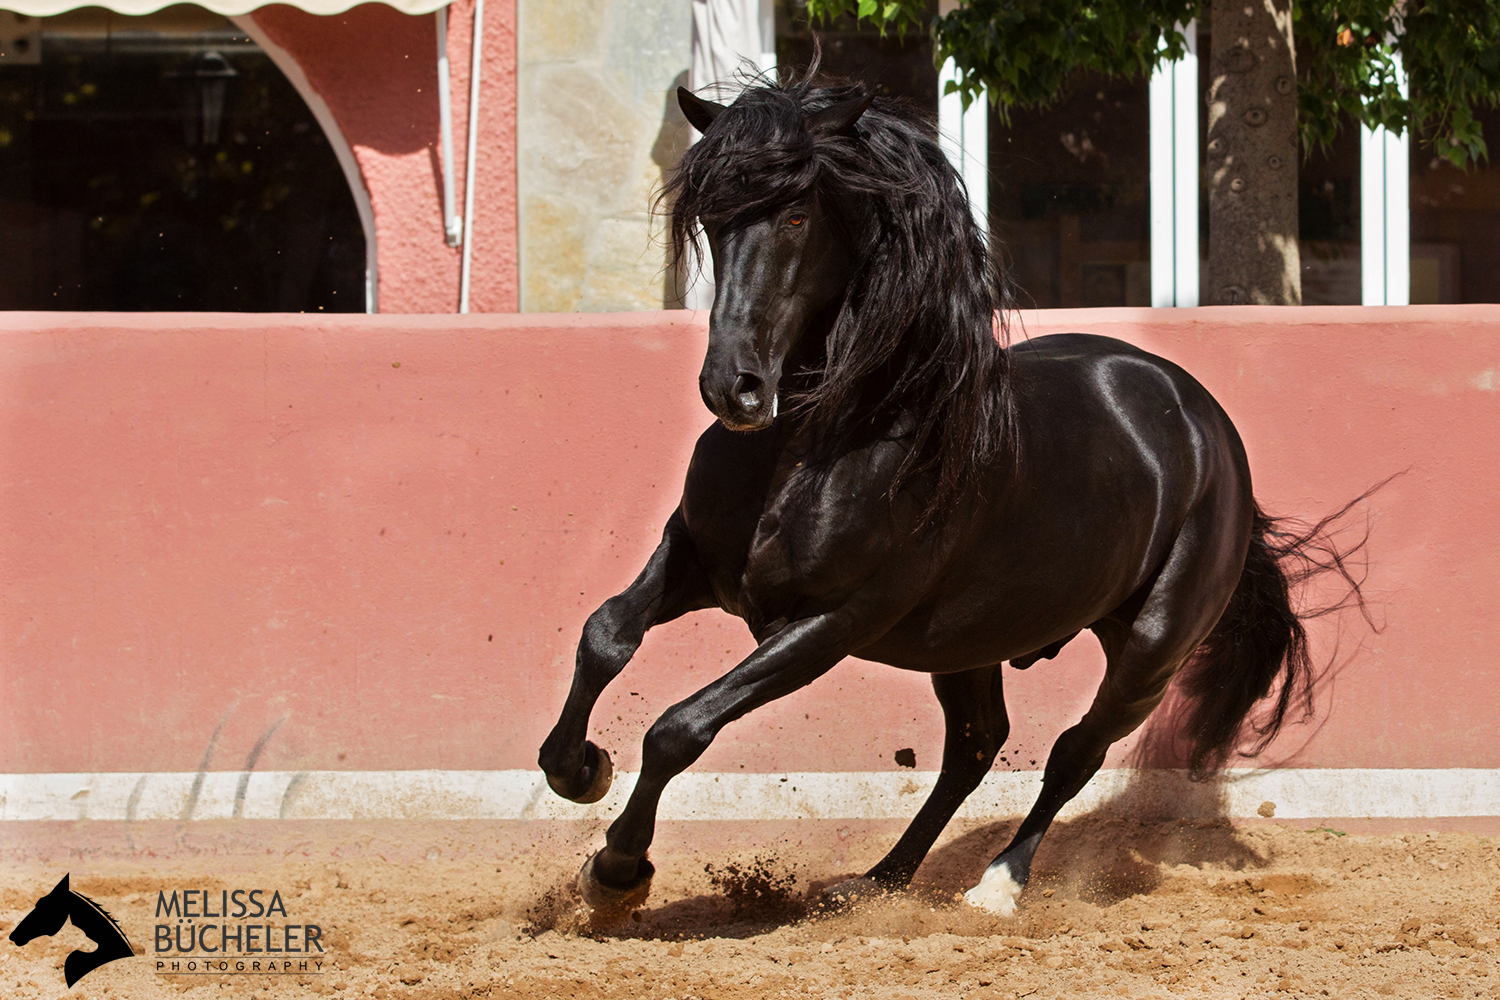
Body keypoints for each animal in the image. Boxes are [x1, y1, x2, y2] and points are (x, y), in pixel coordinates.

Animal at [540, 76, 1362, 923]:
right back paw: (875, 882)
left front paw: (618, 870)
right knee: (975, 744)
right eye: (712, 215)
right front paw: (580, 770)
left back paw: (997, 884)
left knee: (1075, 751)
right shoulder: (698, 559)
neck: (816, 444)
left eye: (796, 214)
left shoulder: (830, 622)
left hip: (1153, 647)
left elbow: (679, 728)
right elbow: (605, 634)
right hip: (972, 640)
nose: (733, 387)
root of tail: (1206, 426)